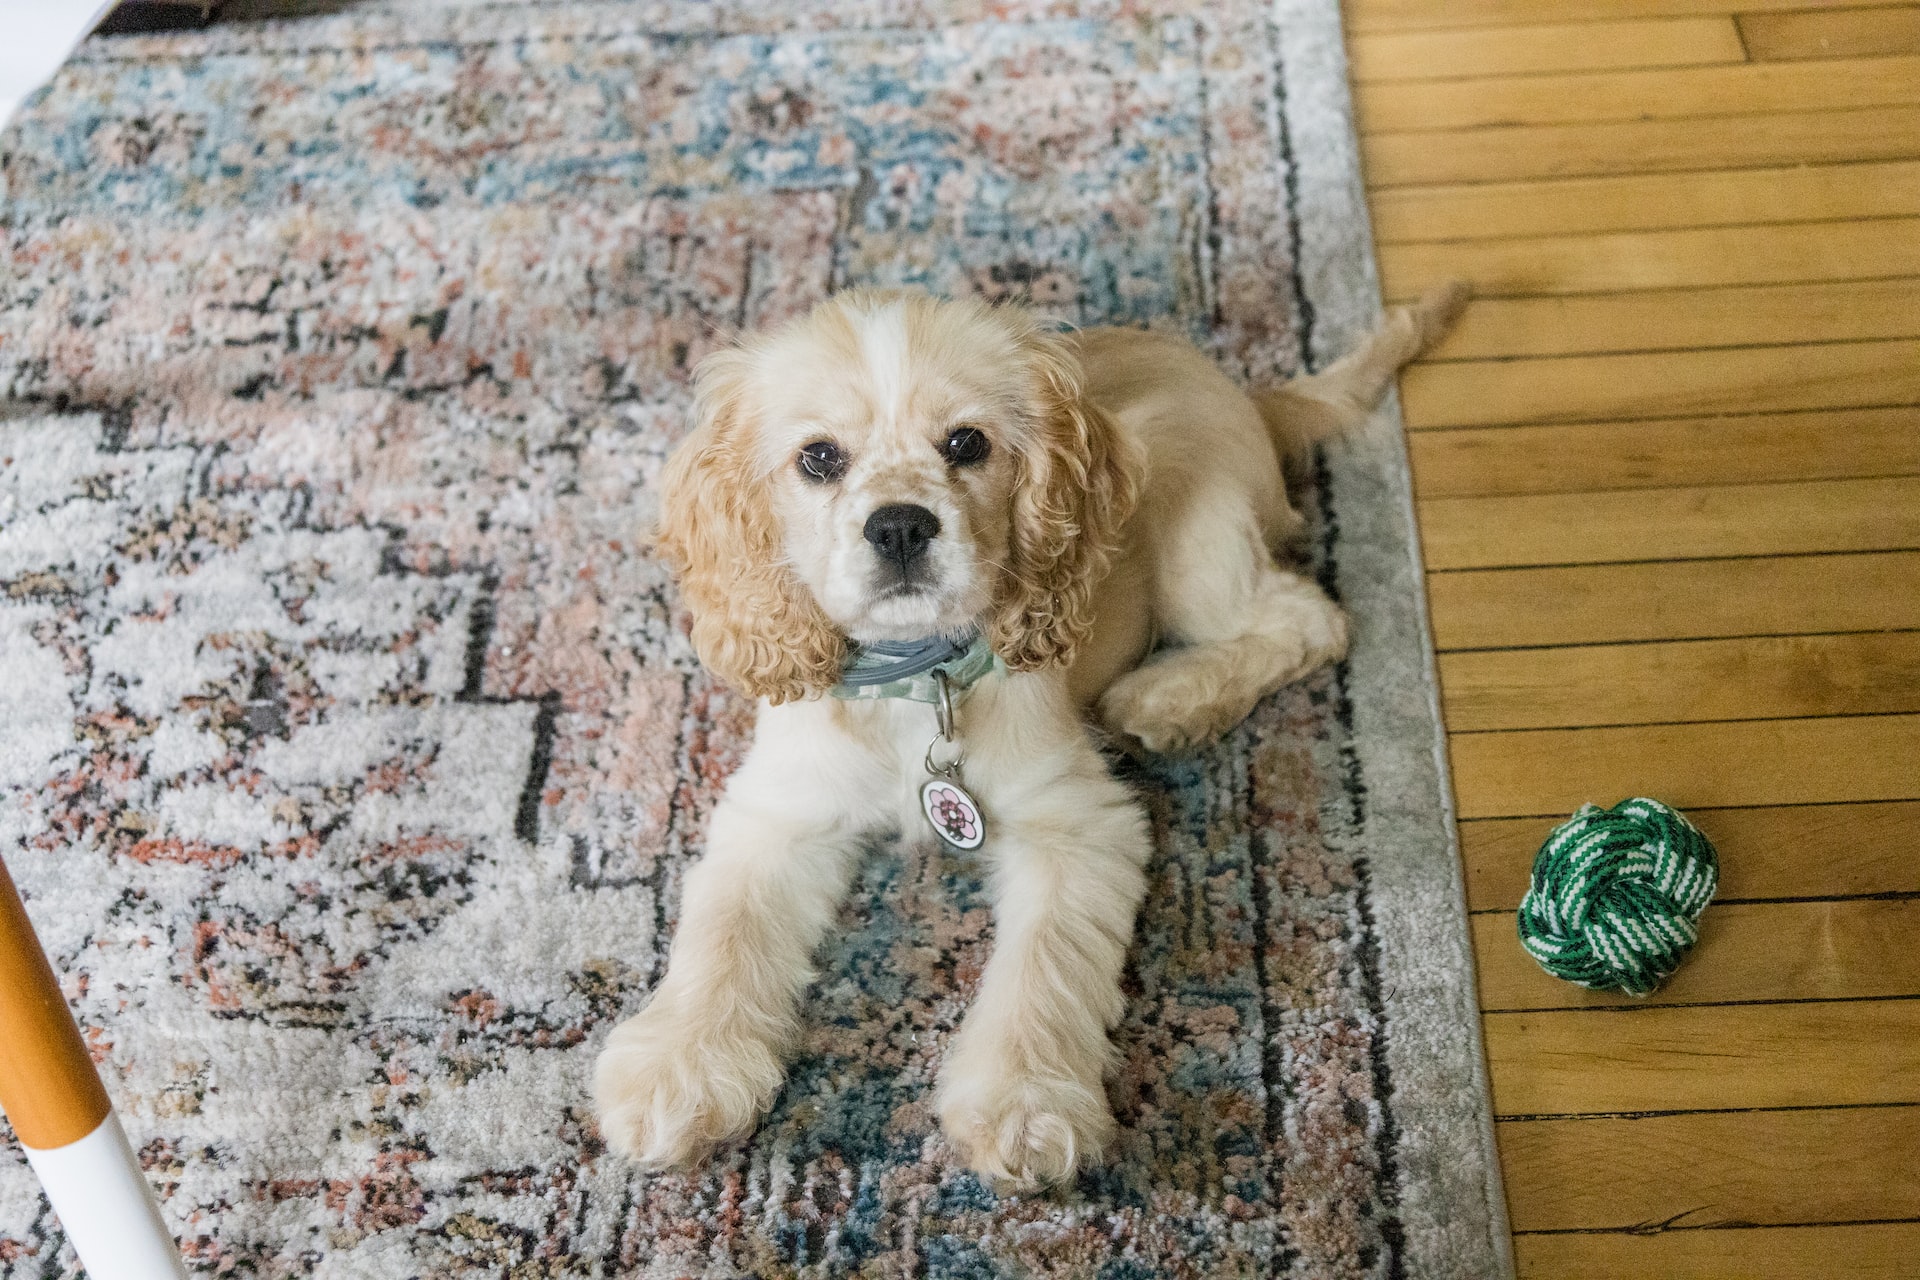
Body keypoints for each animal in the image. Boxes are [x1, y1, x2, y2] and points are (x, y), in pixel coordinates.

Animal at [591, 280, 1459, 1189]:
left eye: (966, 443)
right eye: (819, 458)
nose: (900, 526)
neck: (915, 679)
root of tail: (1251, 398)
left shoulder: (1078, 823)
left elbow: (1045, 965)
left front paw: (1022, 1108)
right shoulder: (778, 811)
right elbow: (724, 928)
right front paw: (677, 1071)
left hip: (1198, 546)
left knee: (1309, 618)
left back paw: (1166, 697)